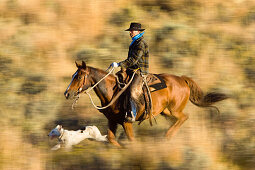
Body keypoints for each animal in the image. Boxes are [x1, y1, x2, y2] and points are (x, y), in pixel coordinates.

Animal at [63, 60, 227, 146]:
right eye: (73, 75)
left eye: (79, 77)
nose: (67, 93)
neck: (113, 91)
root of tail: (182, 79)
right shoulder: (112, 121)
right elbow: (111, 139)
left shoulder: (126, 122)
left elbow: (131, 139)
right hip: (165, 111)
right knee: (177, 120)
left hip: (174, 110)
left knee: (183, 118)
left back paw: (167, 136)